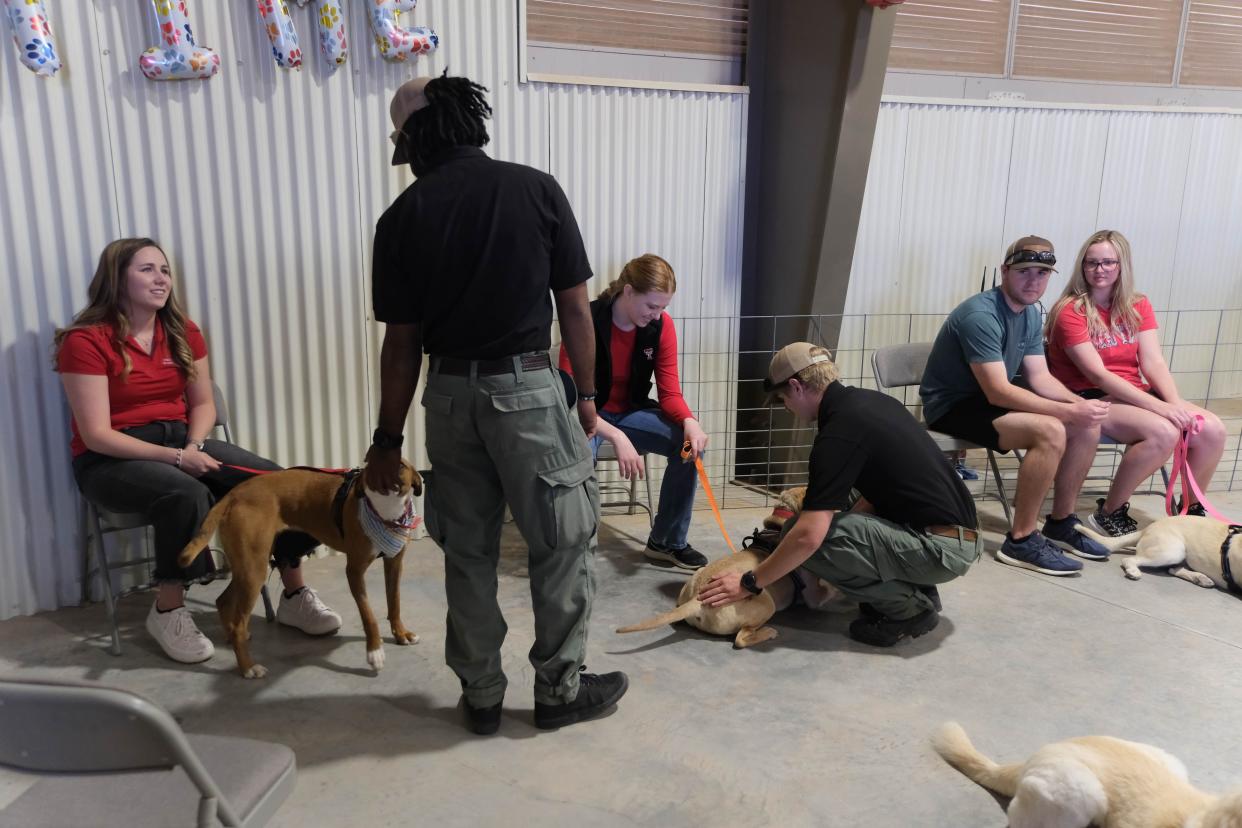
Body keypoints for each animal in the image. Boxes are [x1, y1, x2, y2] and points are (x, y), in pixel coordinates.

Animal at [177, 464, 424, 675]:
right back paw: (248, 667)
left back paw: (234, 638)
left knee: (223, 600)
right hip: (254, 570)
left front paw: (401, 633)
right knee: (237, 619)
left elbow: (394, 602)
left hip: (246, 568)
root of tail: (234, 493)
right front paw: (374, 652)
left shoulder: (394, 563)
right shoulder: (354, 571)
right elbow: (369, 616)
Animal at [1078, 518, 1242, 588]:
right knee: (1129, 560)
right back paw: (1133, 571)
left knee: (1173, 569)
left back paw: (1200, 578)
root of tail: (1147, 528)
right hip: (1172, 550)